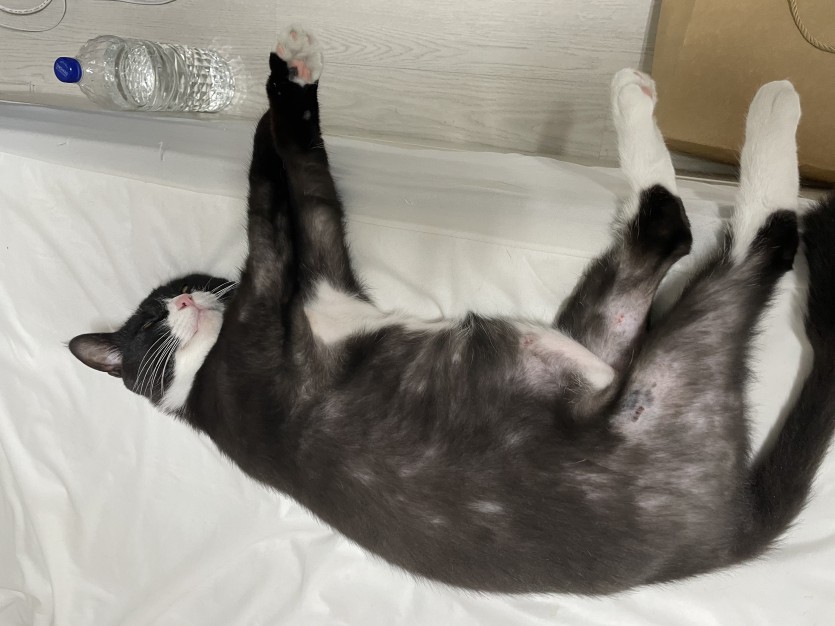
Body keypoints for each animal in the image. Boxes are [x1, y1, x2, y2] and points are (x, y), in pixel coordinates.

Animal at [69, 26, 835, 595]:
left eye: (171, 295)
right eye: (146, 329)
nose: (183, 301)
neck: (202, 375)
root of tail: (722, 537)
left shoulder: (321, 273)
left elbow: (299, 186)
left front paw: (285, 86)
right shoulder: (264, 317)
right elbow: (270, 225)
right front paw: (282, 89)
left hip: (604, 335)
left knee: (672, 243)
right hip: (662, 386)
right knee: (703, 233)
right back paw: (758, 113)